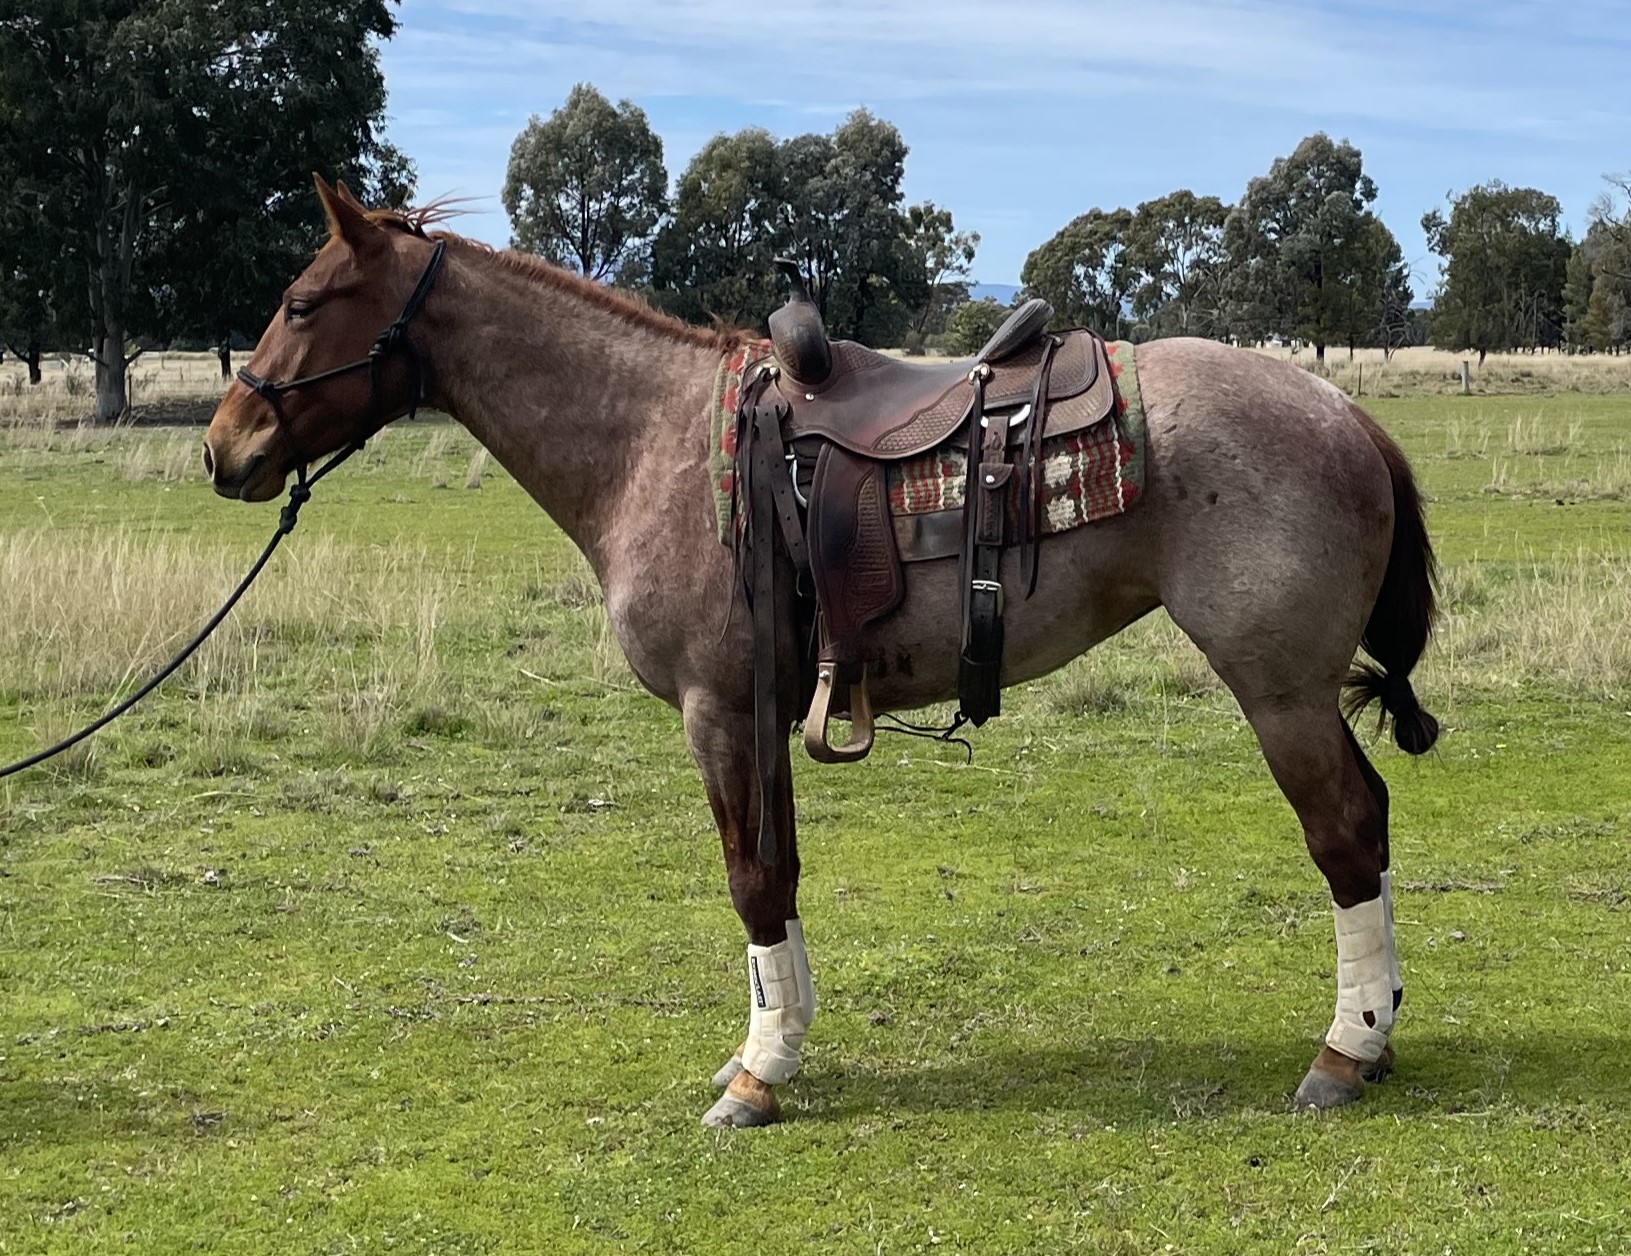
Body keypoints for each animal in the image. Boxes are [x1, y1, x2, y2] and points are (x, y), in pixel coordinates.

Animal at [202, 178, 1438, 1128]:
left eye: (301, 302)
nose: (224, 447)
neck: (652, 439)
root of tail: (1342, 411)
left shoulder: (713, 709)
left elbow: (748, 880)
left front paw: (756, 1079)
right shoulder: (765, 708)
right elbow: (780, 874)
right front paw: (775, 1041)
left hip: (1278, 692)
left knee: (1345, 829)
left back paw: (1345, 1050)